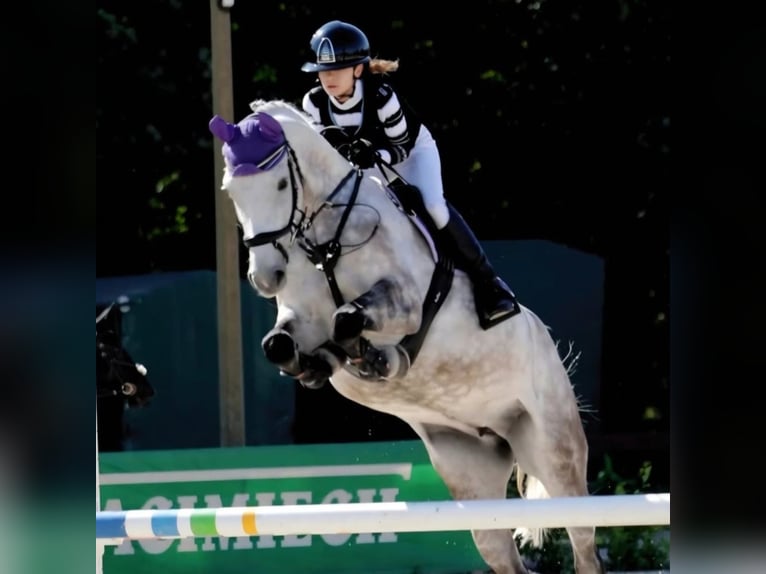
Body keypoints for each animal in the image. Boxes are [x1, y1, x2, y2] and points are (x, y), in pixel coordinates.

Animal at [208, 99, 604, 574]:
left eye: (282, 183)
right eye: (231, 191)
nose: (266, 277)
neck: (327, 242)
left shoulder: (407, 303)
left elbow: (350, 319)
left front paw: (376, 359)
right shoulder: (299, 320)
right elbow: (281, 344)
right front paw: (319, 366)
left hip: (554, 450)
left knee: (584, 544)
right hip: (471, 473)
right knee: (504, 554)